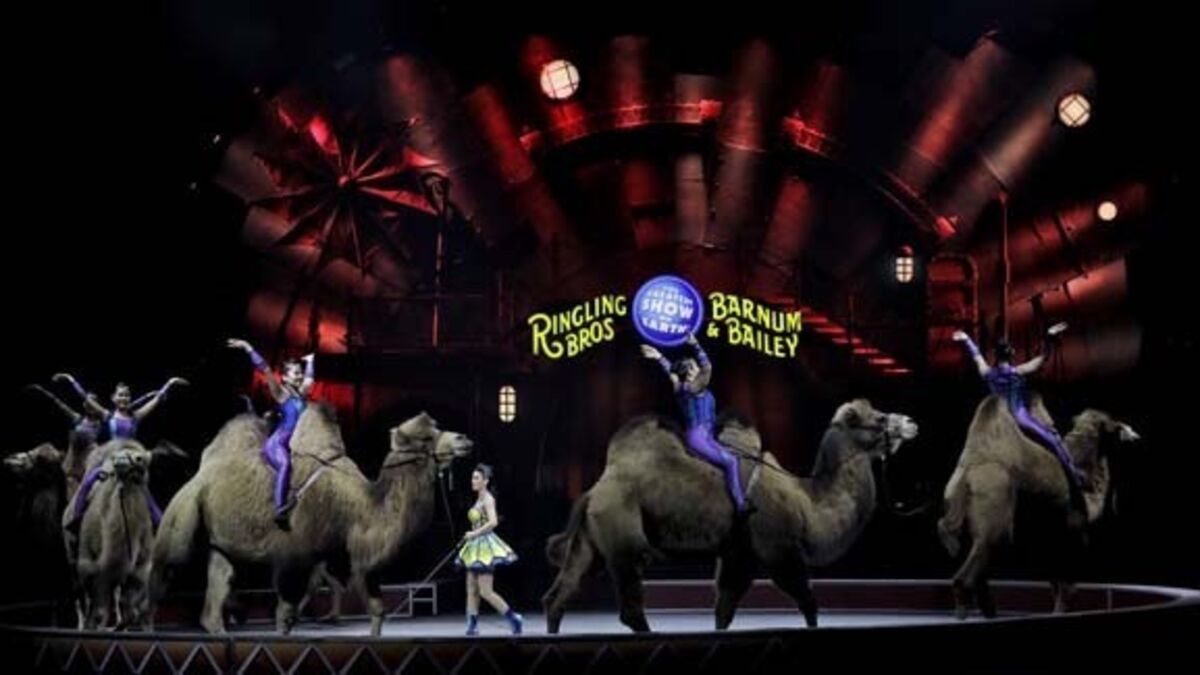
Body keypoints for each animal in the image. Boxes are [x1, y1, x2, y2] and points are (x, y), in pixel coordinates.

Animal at [67, 439, 157, 630]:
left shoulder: (141, 570)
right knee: (81, 598)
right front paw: (93, 627)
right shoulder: (88, 567)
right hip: (73, 559)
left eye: (142, 462)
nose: (123, 459)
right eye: (112, 472)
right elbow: (97, 609)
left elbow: (130, 607)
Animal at [151, 405, 472, 636]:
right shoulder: (292, 558)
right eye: (426, 437)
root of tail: (201, 471)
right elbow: (285, 617)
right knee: (164, 569)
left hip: (222, 542)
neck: (358, 507)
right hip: (185, 511)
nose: (464, 439)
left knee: (219, 586)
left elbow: (377, 610)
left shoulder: (352, 560)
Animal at [543, 399, 919, 633]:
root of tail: (593, 491)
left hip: (591, 541)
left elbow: (724, 608)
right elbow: (808, 600)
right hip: (623, 535)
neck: (807, 500)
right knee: (630, 604)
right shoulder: (778, 549)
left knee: (559, 594)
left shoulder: (739, 554)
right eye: (879, 418)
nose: (912, 422)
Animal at [937, 394, 1139, 618]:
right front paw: (1060, 613)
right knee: (973, 568)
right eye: (1115, 426)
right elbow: (1067, 585)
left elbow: (1055, 582)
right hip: (996, 510)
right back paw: (966, 614)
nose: (1134, 433)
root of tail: (969, 472)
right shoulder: (1074, 530)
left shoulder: (1045, 538)